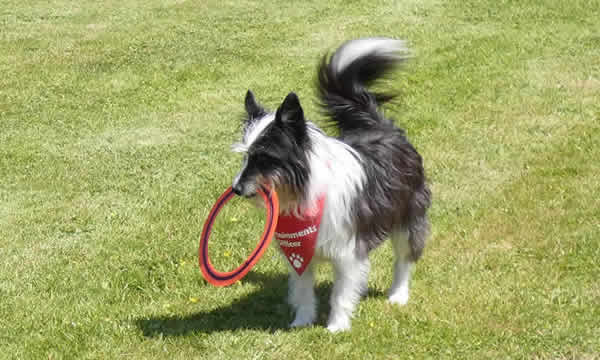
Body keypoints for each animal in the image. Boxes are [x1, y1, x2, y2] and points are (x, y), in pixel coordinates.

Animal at [230, 37, 432, 332]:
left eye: (264, 158)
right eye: (246, 156)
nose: (236, 189)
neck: (304, 191)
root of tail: (382, 127)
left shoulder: (348, 253)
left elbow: (341, 293)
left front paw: (336, 326)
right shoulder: (299, 256)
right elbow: (303, 291)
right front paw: (301, 322)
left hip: (409, 215)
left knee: (404, 259)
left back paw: (398, 294)